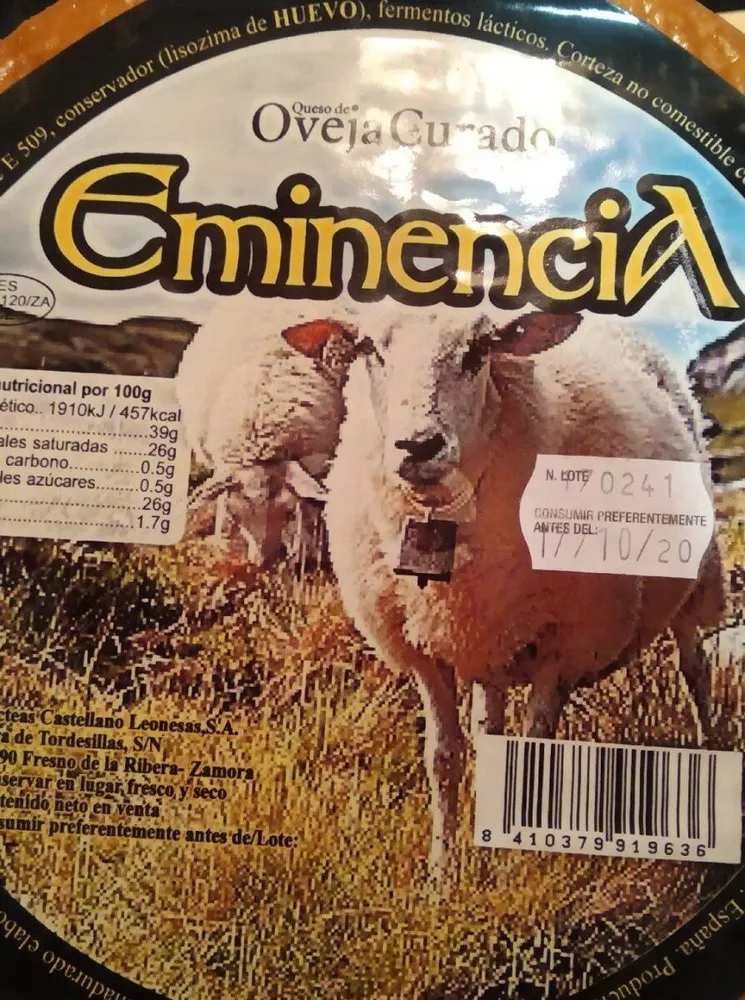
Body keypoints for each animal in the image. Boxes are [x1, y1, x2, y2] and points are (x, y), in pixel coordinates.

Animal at [175, 295, 359, 569]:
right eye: (237, 516)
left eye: (288, 512)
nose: (261, 563)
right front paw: (223, 544)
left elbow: (309, 511)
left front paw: (304, 553)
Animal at [298, 305, 726, 879]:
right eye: (369, 348)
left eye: (480, 349)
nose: (419, 446)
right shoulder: (423, 649)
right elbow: (444, 757)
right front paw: (443, 872)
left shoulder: (565, 646)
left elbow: (534, 754)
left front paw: (516, 867)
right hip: (488, 635)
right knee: (490, 724)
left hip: (694, 575)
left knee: (695, 668)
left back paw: (710, 748)